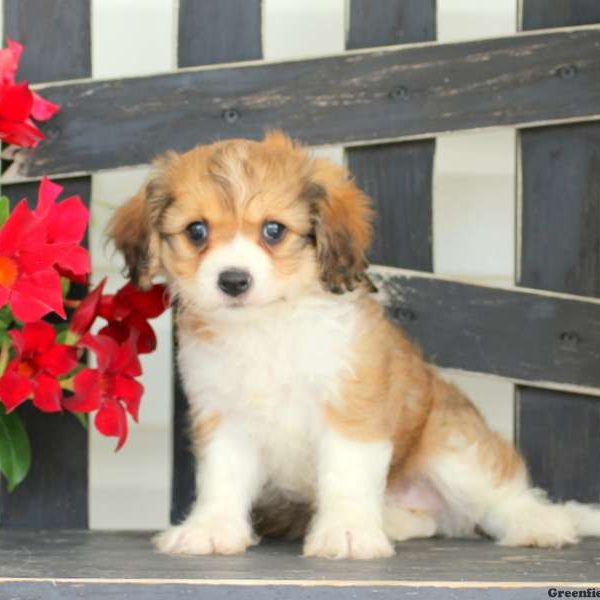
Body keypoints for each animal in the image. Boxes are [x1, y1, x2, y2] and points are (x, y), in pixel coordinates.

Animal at [110, 130, 600, 556]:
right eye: (196, 231)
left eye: (273, 230)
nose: (233, 280)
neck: (269, 326)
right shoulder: (224, 415)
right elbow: (222, 478)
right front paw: (212, 528)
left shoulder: (352, 406)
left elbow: (345, 475)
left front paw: (346, 532)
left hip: (454, 448)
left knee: (500, 495)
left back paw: (543, 522)